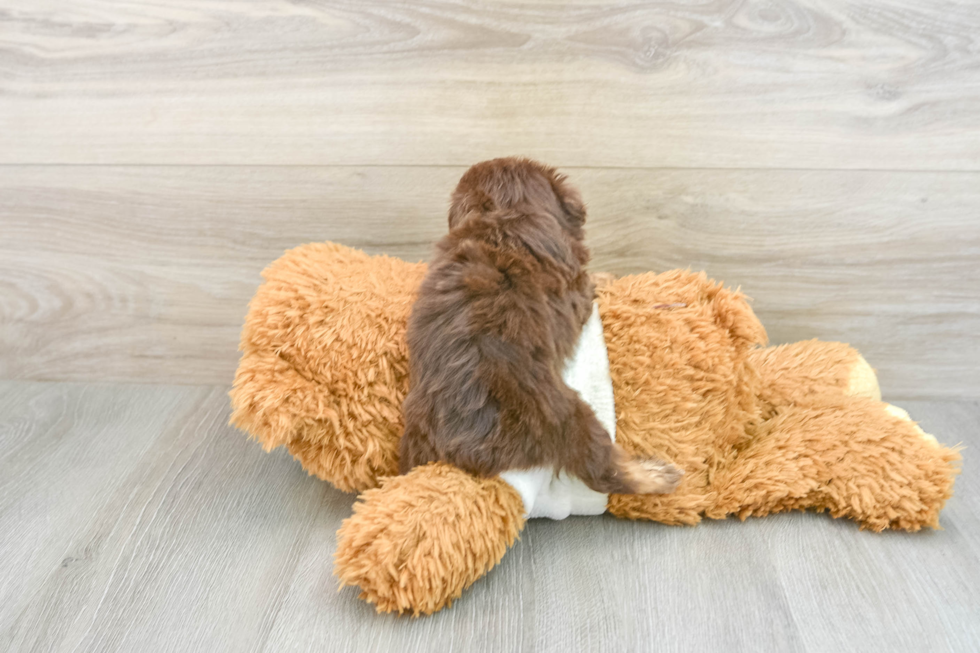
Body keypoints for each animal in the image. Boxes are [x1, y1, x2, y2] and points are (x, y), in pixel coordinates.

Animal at [398, 158, 680, 494]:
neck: (504, 216)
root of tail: (461, 455)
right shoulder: (575, 288)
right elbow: (589, 282)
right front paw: (608, 277)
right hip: (567, 413)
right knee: (605, 469)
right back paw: (658, 475)